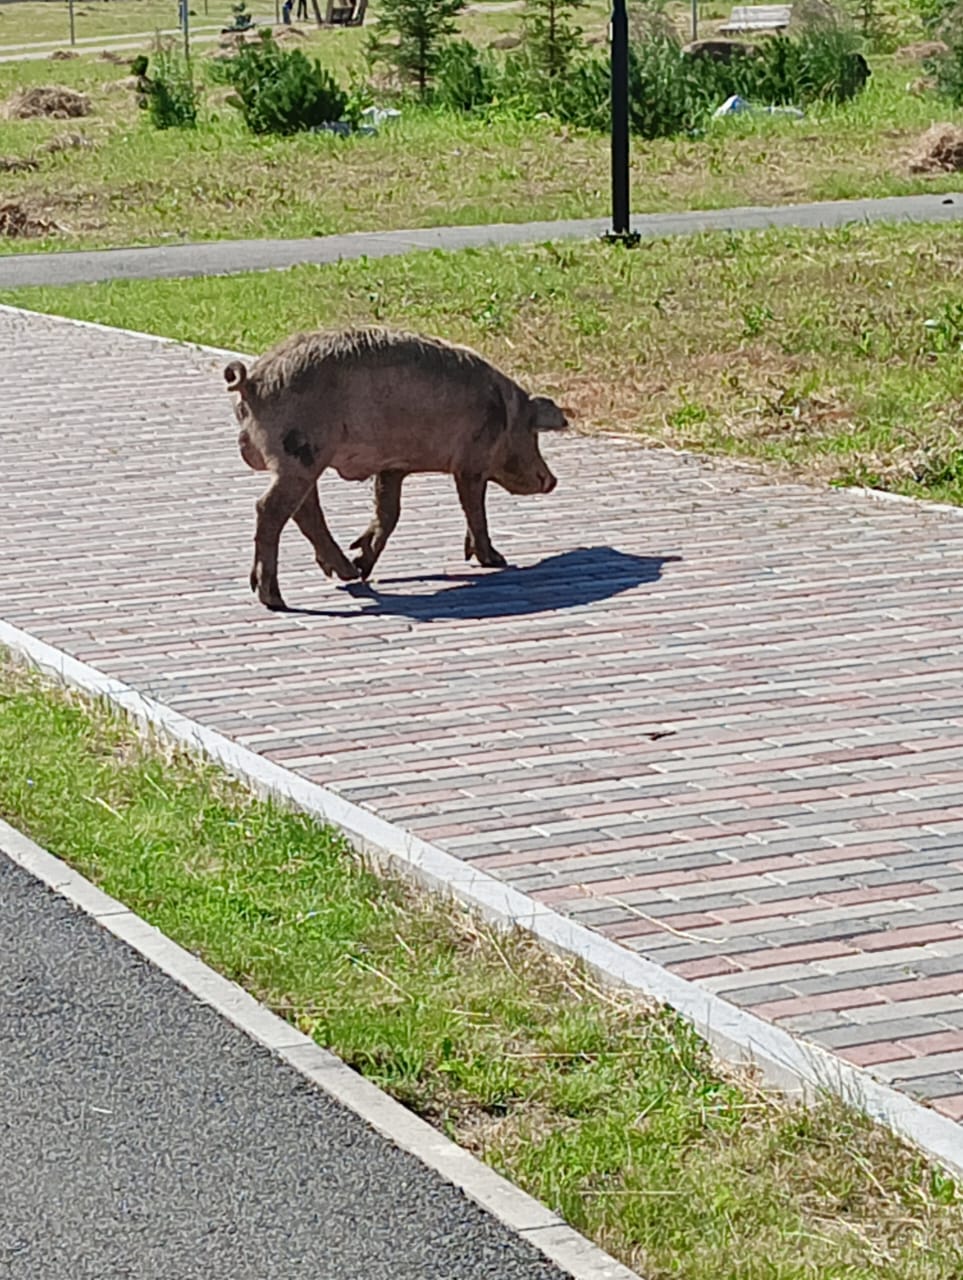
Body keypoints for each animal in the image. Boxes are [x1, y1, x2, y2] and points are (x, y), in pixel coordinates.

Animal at [225, 327, 568, 611]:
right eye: (534, 433)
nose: (552, 480)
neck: (504, 413)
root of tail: (251, 382)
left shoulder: (393, 466)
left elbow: (389, 511)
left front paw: (364, 563)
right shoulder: (471, 460)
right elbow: (474, 509)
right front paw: (496, 560)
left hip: (304, 462)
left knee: (305, 510)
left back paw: (349, 573)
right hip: (300, 455)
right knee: (269, 508)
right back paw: (274, 599)